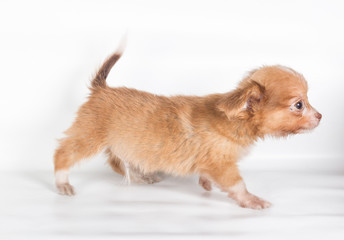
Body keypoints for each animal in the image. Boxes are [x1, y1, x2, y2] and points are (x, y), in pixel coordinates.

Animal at [53, 46, 320, 209]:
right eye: (299, 105)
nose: (320, 116)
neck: (234, 119)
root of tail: (101, 89)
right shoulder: (223, 165)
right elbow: (238, 184)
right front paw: (251, 200)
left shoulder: (211, 162)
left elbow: (208, 175)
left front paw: (206, 184)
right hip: (88, 136)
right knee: (63, 154)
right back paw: (62, 183)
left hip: (122, 141)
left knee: (116, 162)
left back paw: (141, 176)